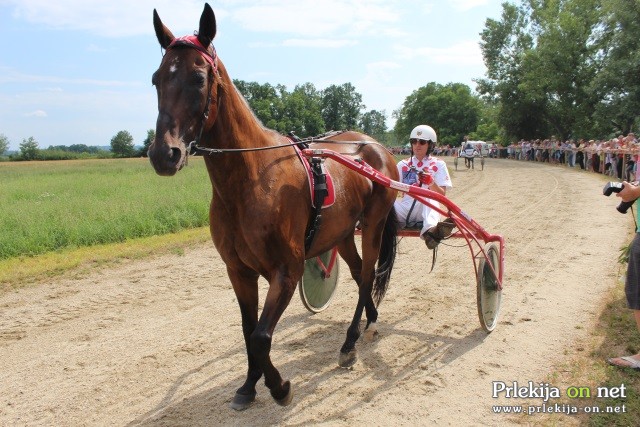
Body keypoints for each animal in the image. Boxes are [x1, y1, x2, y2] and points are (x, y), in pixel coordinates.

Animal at [149, 4, 398, 412]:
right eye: (156, 79)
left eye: (198, 78)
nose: (163, 154)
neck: (251, 180)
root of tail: (375, 146)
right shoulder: (239, 271)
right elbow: (249, 331)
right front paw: (249, 386)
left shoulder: (287, 270)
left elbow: (262, 336)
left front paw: (279, 387)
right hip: (342, 232)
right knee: (359, 269)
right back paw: (369, 322)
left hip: (373, 224)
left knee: (366, 277)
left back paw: (349, 343)